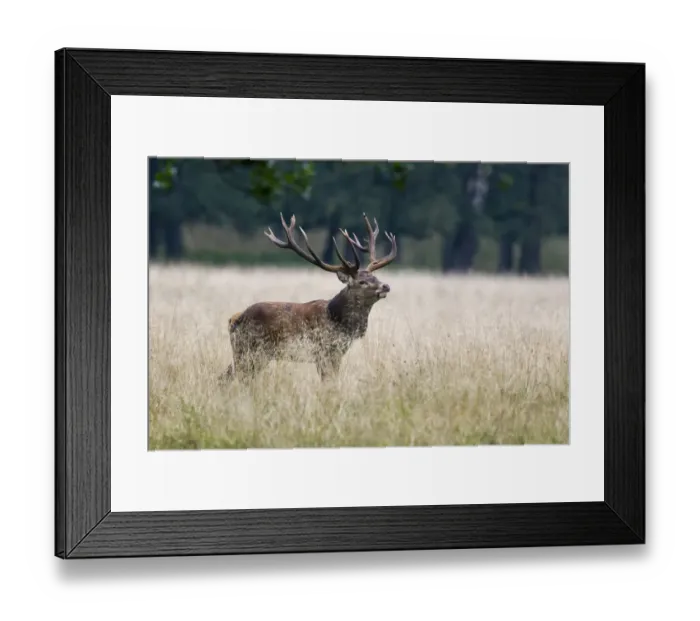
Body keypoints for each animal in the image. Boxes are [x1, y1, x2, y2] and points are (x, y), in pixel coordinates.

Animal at [219, 212, 397, 382]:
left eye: (375, 277)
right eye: (362, 282)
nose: (386, 286)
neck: (338, 321)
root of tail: (233, 319)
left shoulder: (336, 353)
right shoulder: (324, 350)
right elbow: (328, 381)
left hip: (255, 353)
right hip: (248, 349)